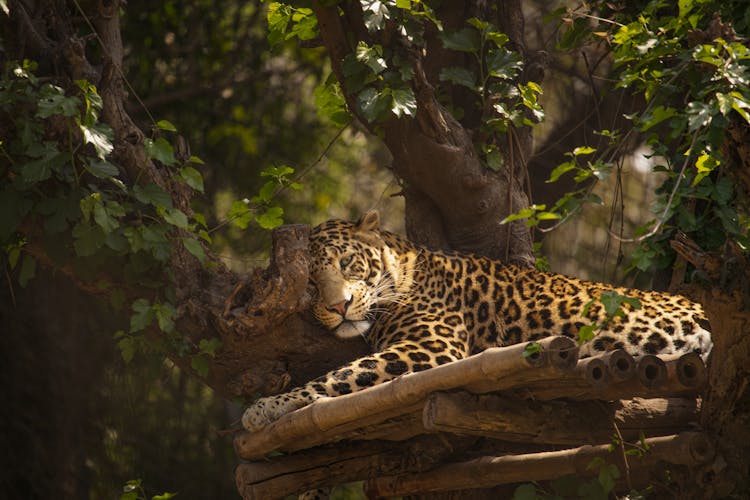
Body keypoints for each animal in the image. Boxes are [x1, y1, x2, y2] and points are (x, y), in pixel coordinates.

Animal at [244, 209, 712, 432]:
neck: (404, 267)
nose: (338, 306)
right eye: (310, 283)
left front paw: (266, 408)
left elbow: (341, 375)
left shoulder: (430, 347)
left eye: (347, 264)